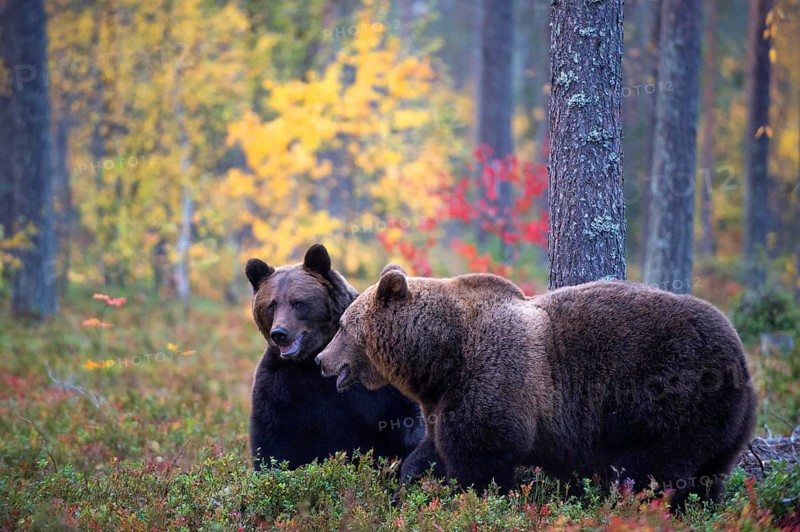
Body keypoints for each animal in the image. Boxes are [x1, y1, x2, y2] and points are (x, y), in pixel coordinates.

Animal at [245, 245, 424, 470]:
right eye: (271, 305)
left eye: (298, 302)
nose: (279, 333)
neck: (311, 359)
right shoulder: (279, 385)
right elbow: (272, 440)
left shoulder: (375, 384)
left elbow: (404, 416)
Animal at [316, 265, 757, 508]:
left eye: (343, 325)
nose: (321, 360)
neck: (440, 357)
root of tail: (741, 357)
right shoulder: (444, 399)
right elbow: (433, 449)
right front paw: (405, 485)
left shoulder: (494, 378)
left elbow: (480, 456)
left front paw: (473, 500)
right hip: (722, 424)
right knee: (708, 476)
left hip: (670, 396)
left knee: (655, 472)